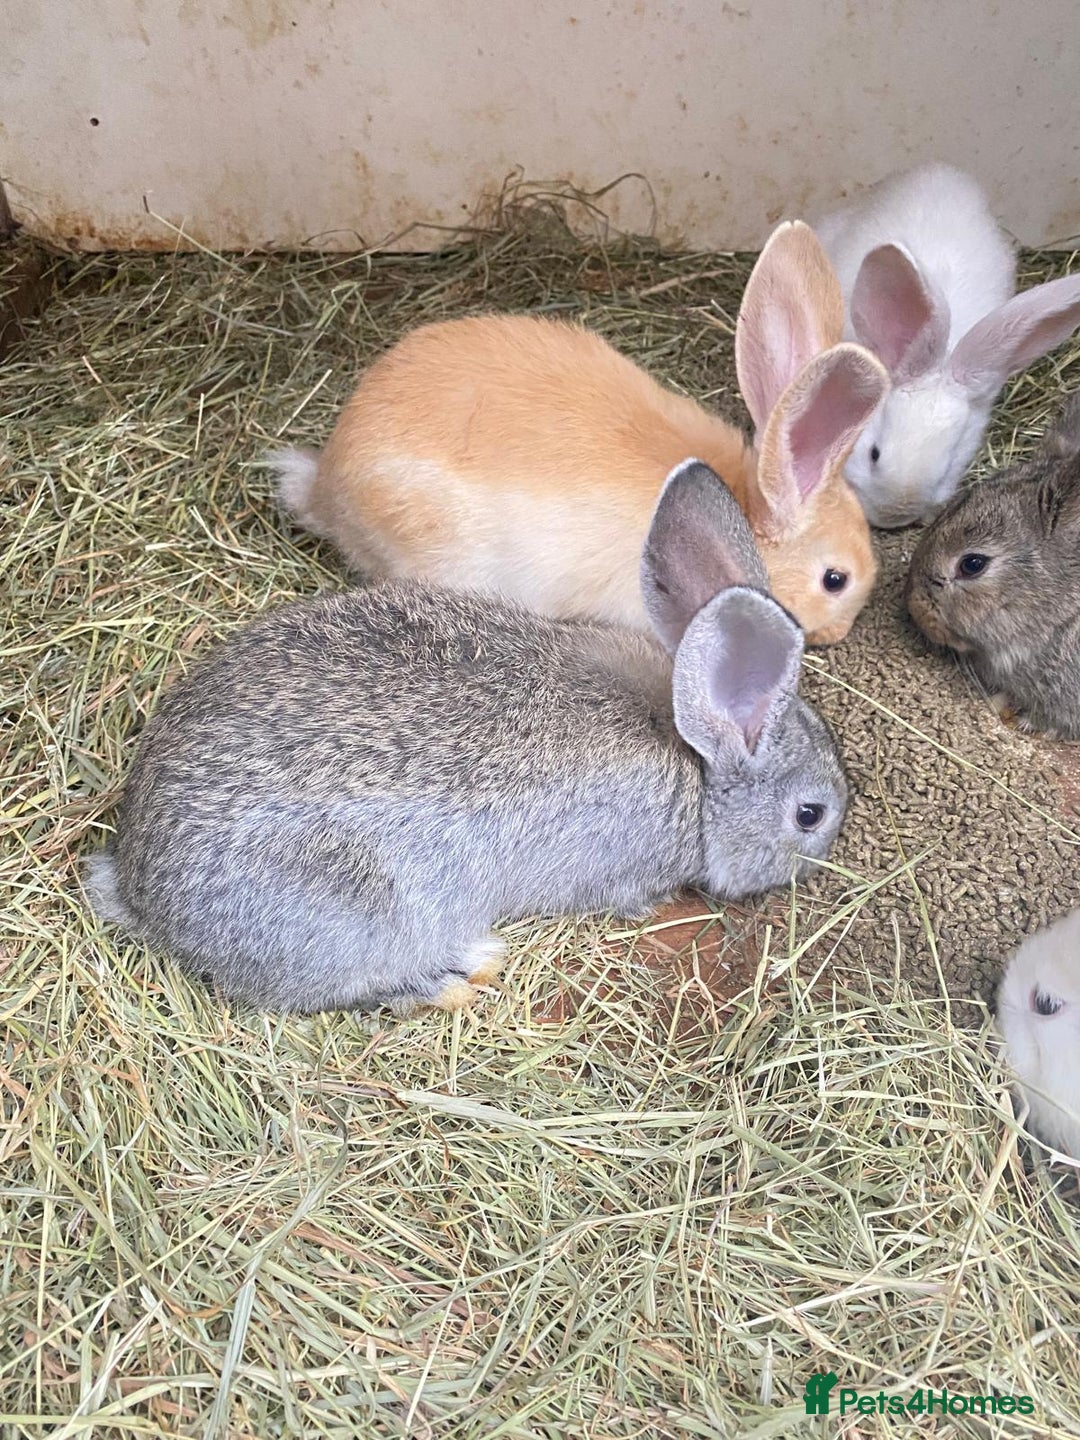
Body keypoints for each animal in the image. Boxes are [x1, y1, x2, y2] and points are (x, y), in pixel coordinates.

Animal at [84, 458, 848, 1016]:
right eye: (809, 815)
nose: (821, 857)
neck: (696, 760)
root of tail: (142, 890)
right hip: (356, 918)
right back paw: (460, 971)